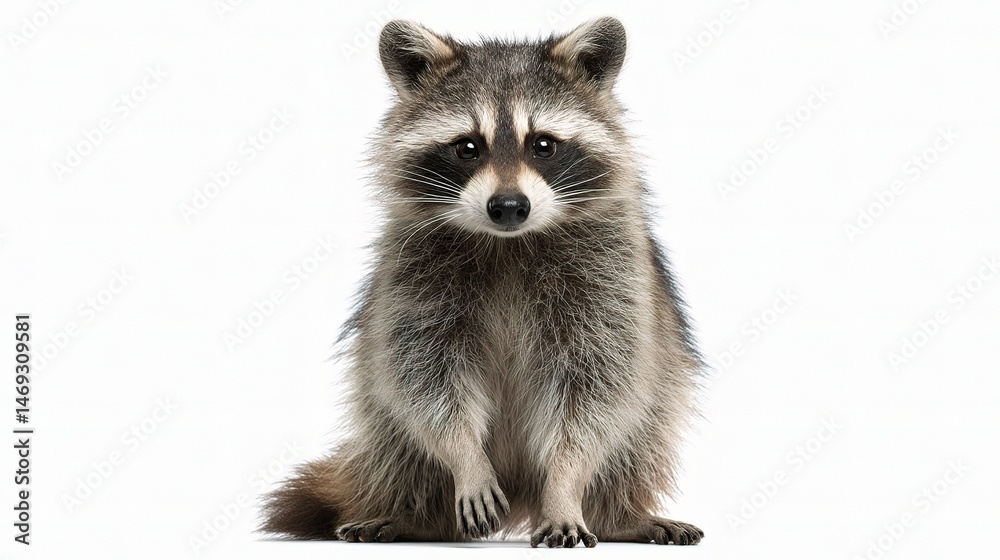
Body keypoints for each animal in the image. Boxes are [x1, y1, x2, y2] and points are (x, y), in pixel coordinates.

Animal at [261, 17, 704, 548]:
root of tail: (521, 492)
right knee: (397, 442)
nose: (509, 206)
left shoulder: (611, 278)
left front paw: (565, 484)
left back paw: (622, 516)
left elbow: (597, 391)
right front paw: (465, 458)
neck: (508, 242)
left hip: (661, 389)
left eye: (543, 145)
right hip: (378, 419)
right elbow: (423, 379)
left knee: (639, 435)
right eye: (467, 147)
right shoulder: (412, 276)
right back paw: (411, 515)